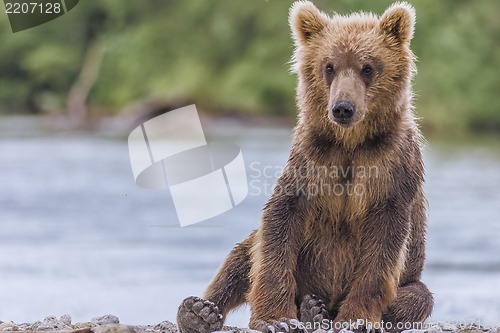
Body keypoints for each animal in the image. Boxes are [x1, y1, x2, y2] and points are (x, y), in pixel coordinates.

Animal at [178, 1, 432, 330]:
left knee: (417, 298)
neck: (351, 144)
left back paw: (319, 311)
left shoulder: (392, 168)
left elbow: (384, 245)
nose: (343, 107)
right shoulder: (312, 161)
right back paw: (201, 311)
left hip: (410, 279)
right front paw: (276, 318)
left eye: (367, 67)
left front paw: (357, 318)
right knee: (242, 256)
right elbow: (278, 226)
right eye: (329, 66)